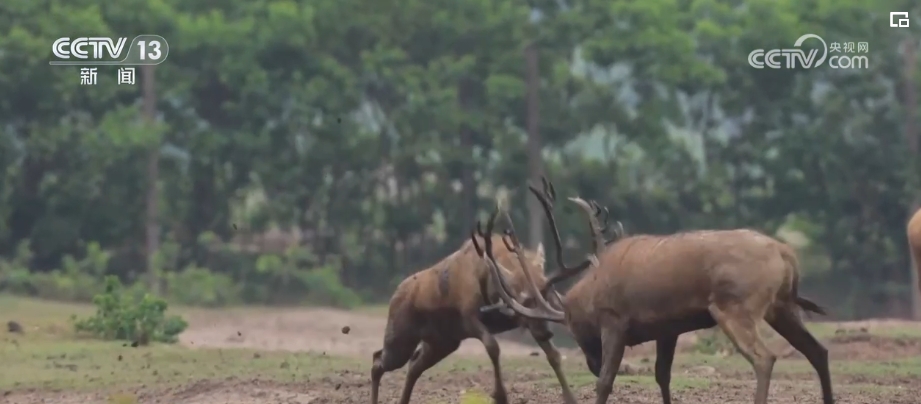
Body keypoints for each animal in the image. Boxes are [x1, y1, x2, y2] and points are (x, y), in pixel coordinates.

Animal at [474, 178, 832, 404]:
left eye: (574, 328)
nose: (589, 361)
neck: (590, 292)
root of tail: (786, 254)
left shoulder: (615, 321)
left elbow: (605, 382)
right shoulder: (667, 328)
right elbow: (662, 376)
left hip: (735, 308)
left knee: (764, 358)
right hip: (782, 307)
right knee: (818, 351)